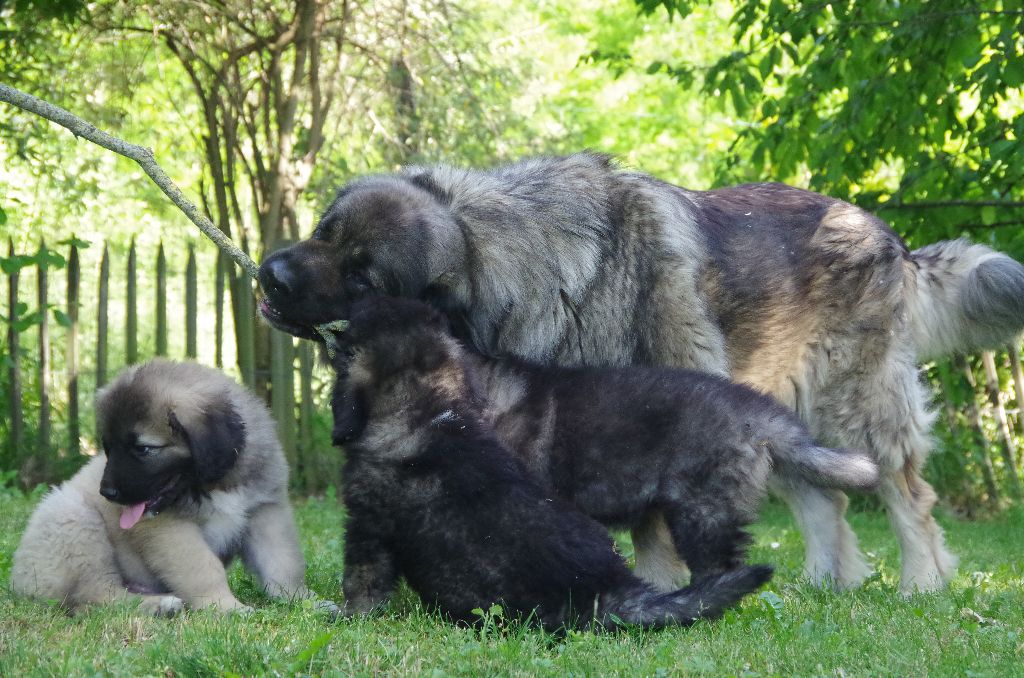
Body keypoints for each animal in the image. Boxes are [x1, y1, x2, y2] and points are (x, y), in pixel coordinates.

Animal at [11, 360, 327, 614]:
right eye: (108, 448)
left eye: (143, 449)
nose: (107, 493)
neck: (214, 484)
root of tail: (18, 582)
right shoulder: (169, 529)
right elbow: (203, 567)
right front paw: (226, 607)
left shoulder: (265, 511)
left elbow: (282, 563)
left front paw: (302, 600)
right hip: (73, 521)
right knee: (96, 595)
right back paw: (160, 605)